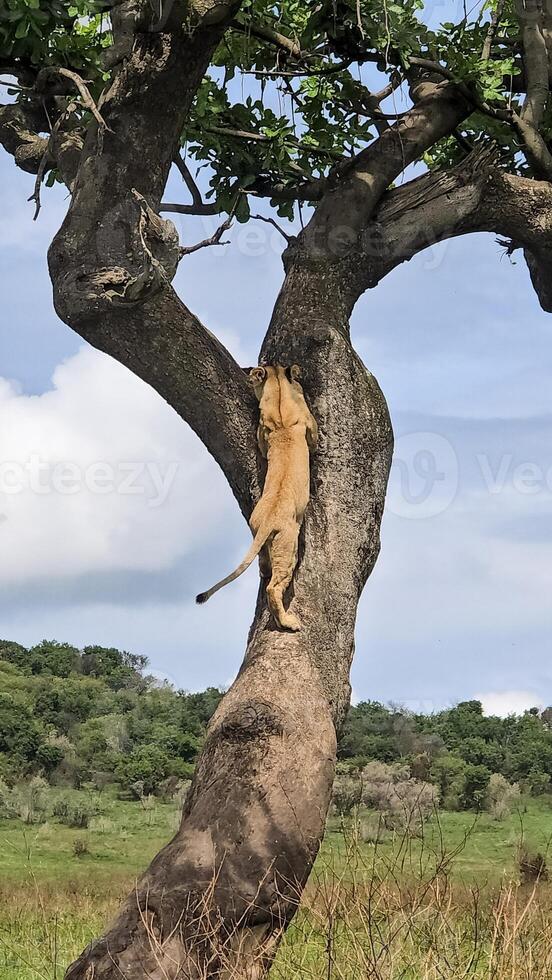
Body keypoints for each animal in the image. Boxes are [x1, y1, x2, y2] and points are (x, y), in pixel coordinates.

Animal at [196, 364, 318, 631]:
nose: (248, 371)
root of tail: (269, 520)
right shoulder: (307, 421)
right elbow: (314, 438)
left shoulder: (264, 431)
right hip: (288, 544)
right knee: (274, 586)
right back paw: (288, 622)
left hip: (256, 530)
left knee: (263, 562)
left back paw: (264, 572)